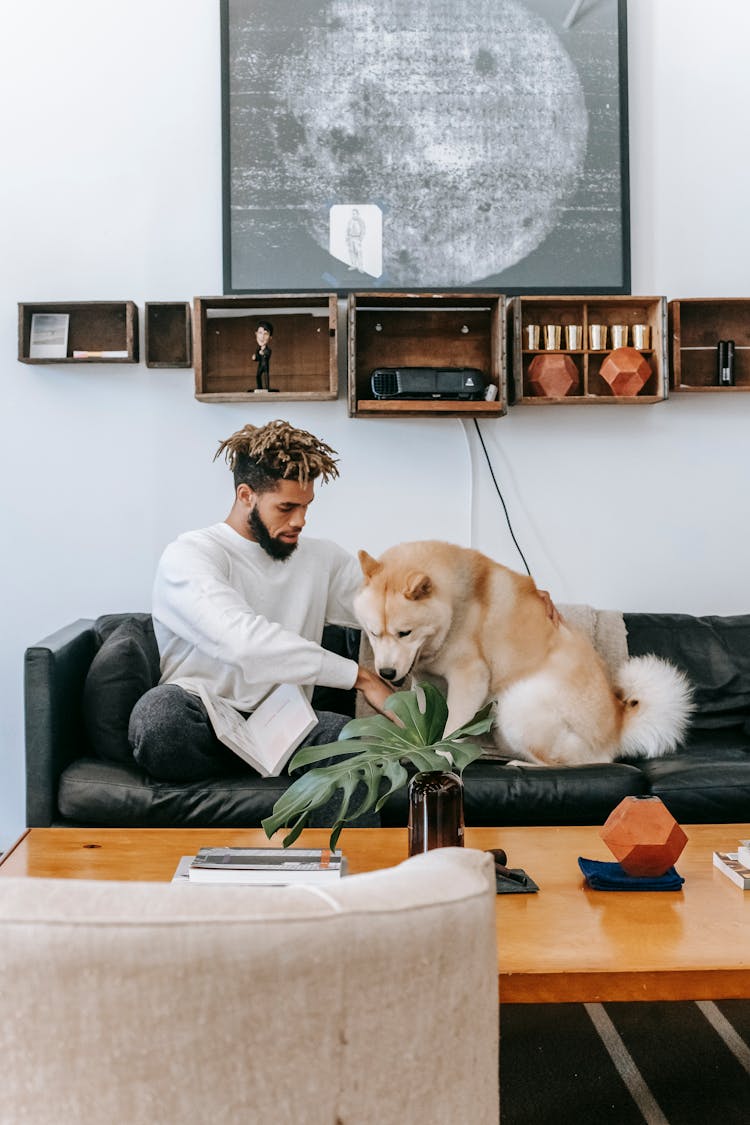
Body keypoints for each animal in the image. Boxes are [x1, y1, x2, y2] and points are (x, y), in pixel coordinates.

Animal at [355, 542, 697, 769]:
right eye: (373, 633)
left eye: (404, 633)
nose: (386, 673)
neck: (454, 607)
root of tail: (618, 722)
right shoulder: (426, 681)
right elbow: (428, 718)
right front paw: (422, 748)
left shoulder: (470, 677)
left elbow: (452, 727)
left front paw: (441, 755)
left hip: (514, 706)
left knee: (573, 763)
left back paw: (523, 765)